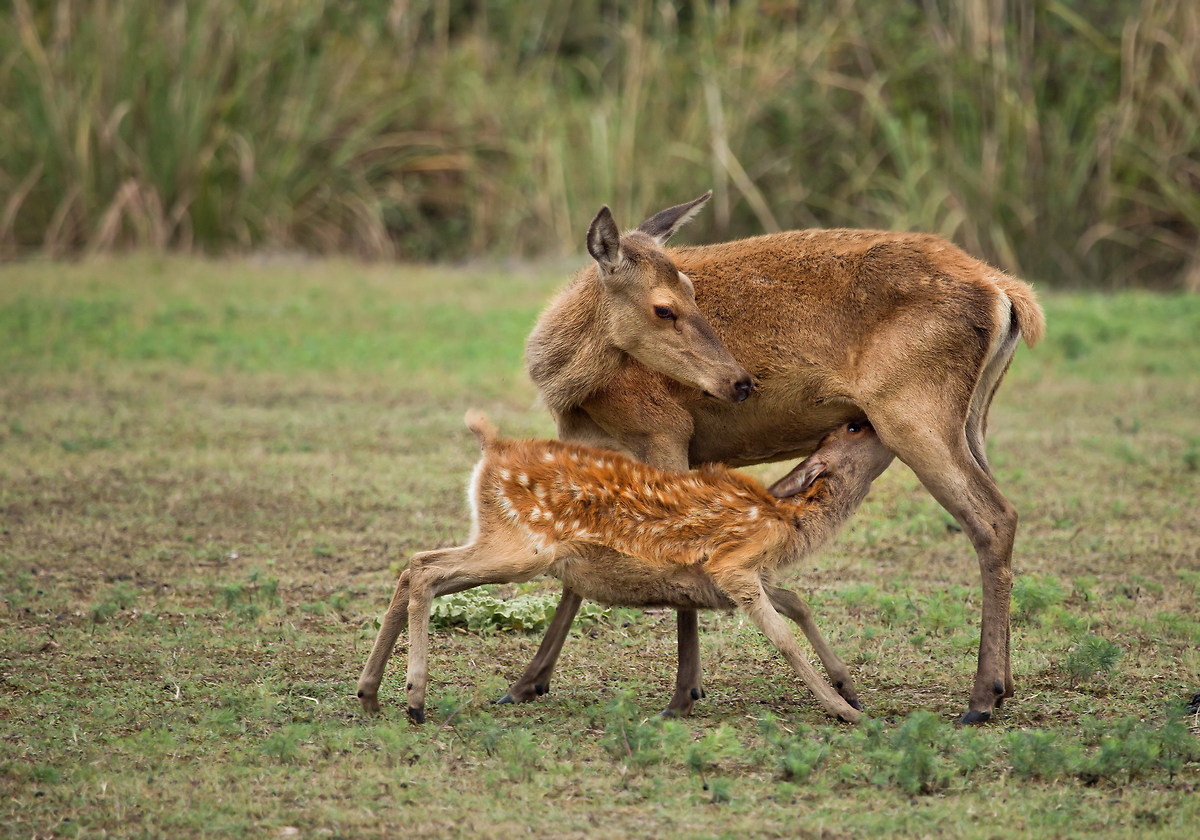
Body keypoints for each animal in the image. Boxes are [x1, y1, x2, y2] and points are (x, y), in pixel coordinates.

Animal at [356, 412, 894, 724]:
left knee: (413, 566)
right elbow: (782, 638)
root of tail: (492, 447)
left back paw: (370, 694)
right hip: (522, 547)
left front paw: (849, 689)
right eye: (853, 428)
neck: (791, 524)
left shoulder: (740, 580)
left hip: (499, 539)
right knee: (425, 569)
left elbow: (799, 604)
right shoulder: (733, 565)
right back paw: (414, 699)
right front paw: (845, 712)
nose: (871, 417)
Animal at [489, 192, 1045, 726]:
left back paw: (980, 698)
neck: (573, 391)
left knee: (992, 517)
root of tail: (1007, 294)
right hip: (972, 420)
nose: (739, 382)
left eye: (691, 291)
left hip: (913, 413)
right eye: (666, 307)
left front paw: (683, 694)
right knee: (1002, 513)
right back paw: (1004, 688)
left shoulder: (664, 432)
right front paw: (526, 683)